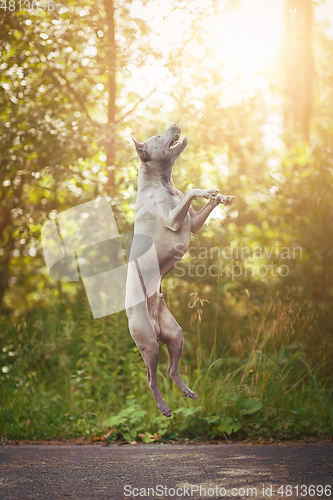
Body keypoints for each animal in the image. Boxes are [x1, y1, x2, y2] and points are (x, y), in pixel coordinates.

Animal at [125, 123, 236, 416]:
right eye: (156, 136)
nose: (175, 124)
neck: (163, 183)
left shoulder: (193, 223)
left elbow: (202, 206)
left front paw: (221, 196)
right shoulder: (174, 220)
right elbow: (191, 192)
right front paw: (206, 191)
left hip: (175, 335)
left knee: (172, 370)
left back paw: (186, 391)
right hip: (149, 344)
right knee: (151, 378)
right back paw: (163, 407)